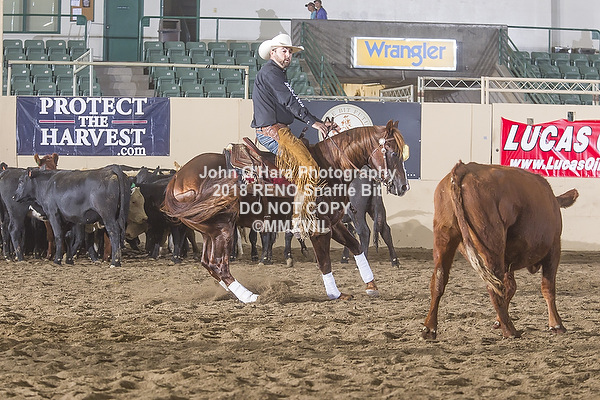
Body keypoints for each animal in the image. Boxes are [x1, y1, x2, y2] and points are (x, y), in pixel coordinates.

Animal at [163, 120, 410, 303]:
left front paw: (371, 285)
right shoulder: (319, 227)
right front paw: (335, 294)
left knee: (209, 264)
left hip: (210, 231)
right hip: (223, 228)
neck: (330, 166)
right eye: (393, 153)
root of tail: (177, 178)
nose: (403, 186)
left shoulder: (334, 222)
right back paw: (249, 296)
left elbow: (355, 246)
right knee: (218, 265)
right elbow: (325, 262)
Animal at [421, 161, 578, 339]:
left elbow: (510, 288)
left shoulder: (508, 262)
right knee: (494, 288)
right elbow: (548, 287)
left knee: (439, 279)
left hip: (445, 236)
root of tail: (465, 167)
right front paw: (556, 324)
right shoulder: (554, 248)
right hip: (491, 244)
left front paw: (497, 321)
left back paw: (429, 328)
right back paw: (510, 330)